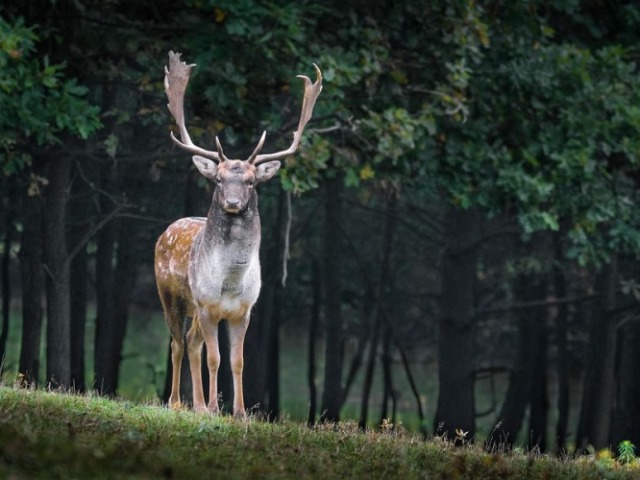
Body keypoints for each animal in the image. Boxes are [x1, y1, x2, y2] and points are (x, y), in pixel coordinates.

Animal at [154, 49, 322, 416]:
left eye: (250, 181)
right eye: (218, 179)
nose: (232, 202)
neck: (230, 283)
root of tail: (166, 231)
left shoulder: (244, 311)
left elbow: (237, 361)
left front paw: (240, 412)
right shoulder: (207, 305)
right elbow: (215, 359)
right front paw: (215, 408)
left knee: (191, 342)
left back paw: (197, 405)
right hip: (170, 295)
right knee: (177, 342)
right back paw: (178, 402)